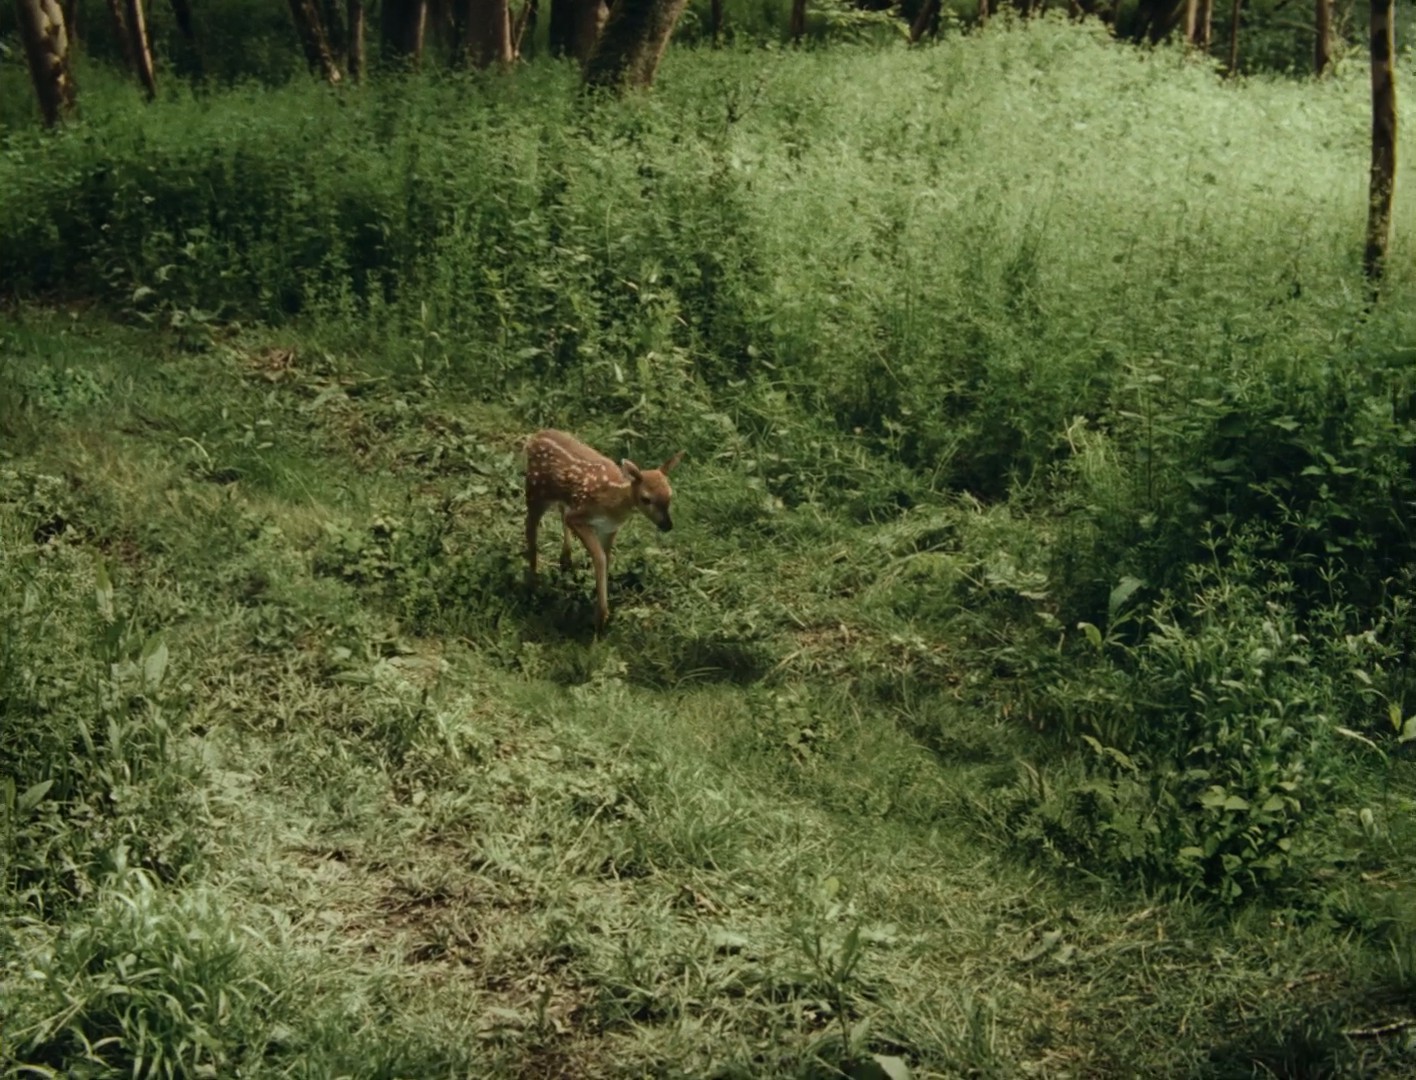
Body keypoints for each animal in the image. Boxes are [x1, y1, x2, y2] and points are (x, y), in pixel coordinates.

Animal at [523, 429, 685, 632]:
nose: (667, 525)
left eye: (670, 494)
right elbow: (599, 558)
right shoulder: (579, 516)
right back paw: (532, 583)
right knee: (530, 526)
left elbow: (606, 557)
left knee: (560, 508)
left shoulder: (609, 529)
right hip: (535, 490)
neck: (614, 503)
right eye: (646, 499)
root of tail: (534, 437)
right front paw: (601, 618)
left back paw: (565, 560)